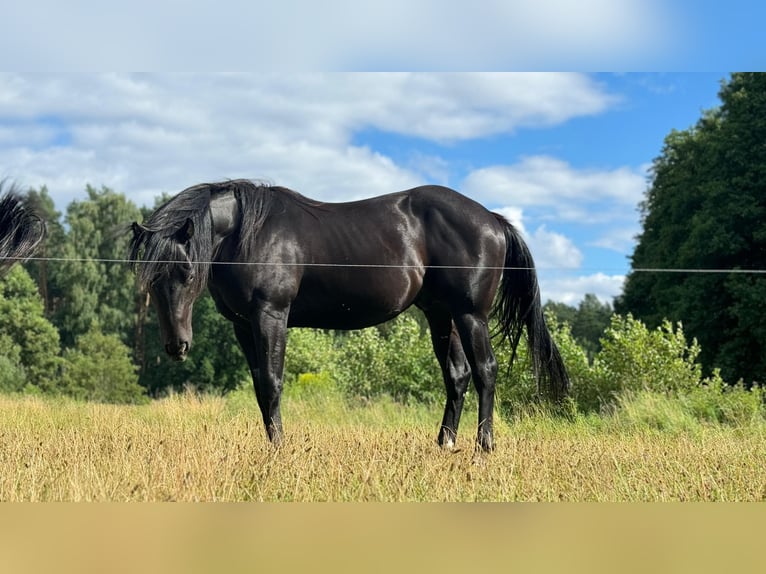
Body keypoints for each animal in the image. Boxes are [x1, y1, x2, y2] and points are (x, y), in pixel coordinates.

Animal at [127, 182, 568, 452]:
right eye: (150, 280)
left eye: (187, 273)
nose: (177, 346)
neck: (245, 233)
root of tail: (492, 218)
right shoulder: (242, 325)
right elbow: (258, 388)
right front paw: (271, 445)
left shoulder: (271, 315)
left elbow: (272, 383)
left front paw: (279, 449)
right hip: (442, 315)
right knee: (456, 376)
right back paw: (445, 444)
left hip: (470, 314)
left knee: (485, 371)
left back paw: (484, 446)